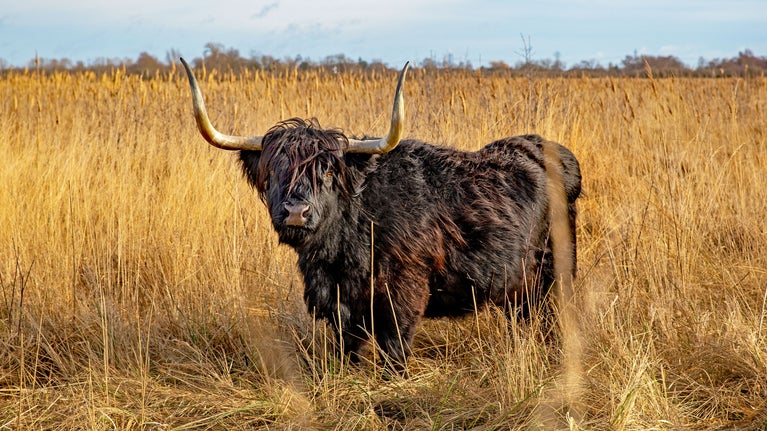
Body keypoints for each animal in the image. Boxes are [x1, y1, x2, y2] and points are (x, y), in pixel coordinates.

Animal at [179, 58, 581, 369]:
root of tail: (551, 150)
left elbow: (394, 351)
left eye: (328, 172)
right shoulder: (340, 304)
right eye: (274, 171)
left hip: (555, 271)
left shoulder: (404, 293)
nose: (296, 212)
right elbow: (347, 349)